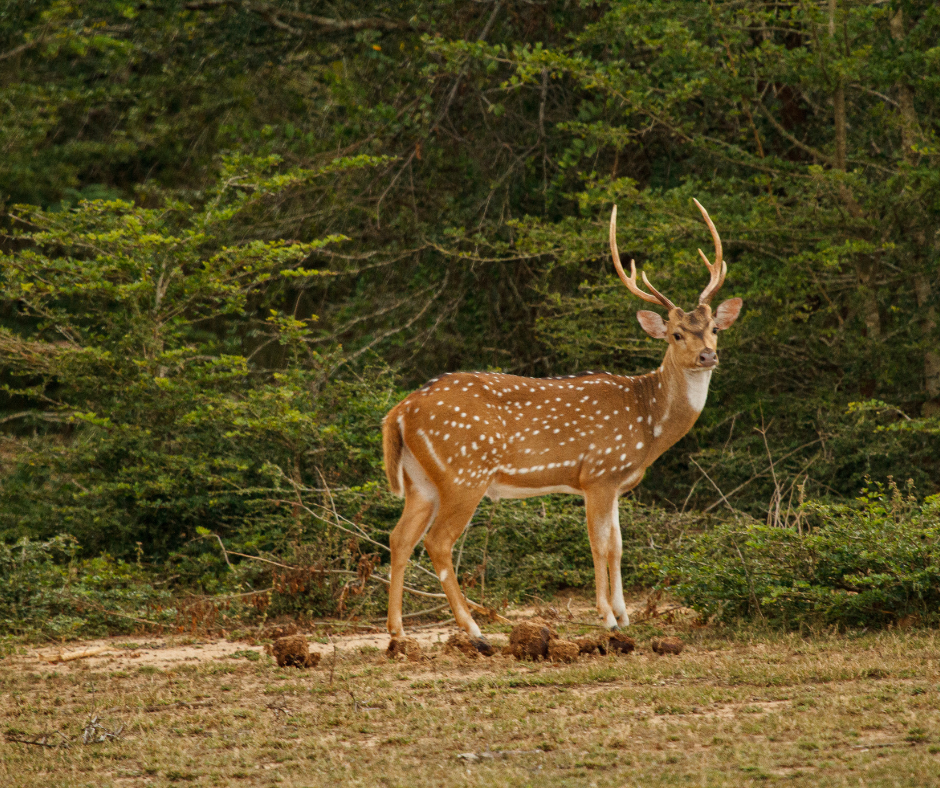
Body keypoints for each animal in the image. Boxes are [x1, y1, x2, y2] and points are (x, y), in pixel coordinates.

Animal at [382, 199, 740, 652]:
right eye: (676, 334)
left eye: (713, 328)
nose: (708, 356)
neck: (648, 422)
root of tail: (399, 412)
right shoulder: (598, 473)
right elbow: (599, 543)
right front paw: (608, 619)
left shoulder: (616, 481)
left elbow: (619, 544)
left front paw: (625, 614)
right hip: (464, 471)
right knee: (438, 541)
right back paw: (475, 631)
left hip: (420, 480)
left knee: (399, 538)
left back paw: (398, 632)